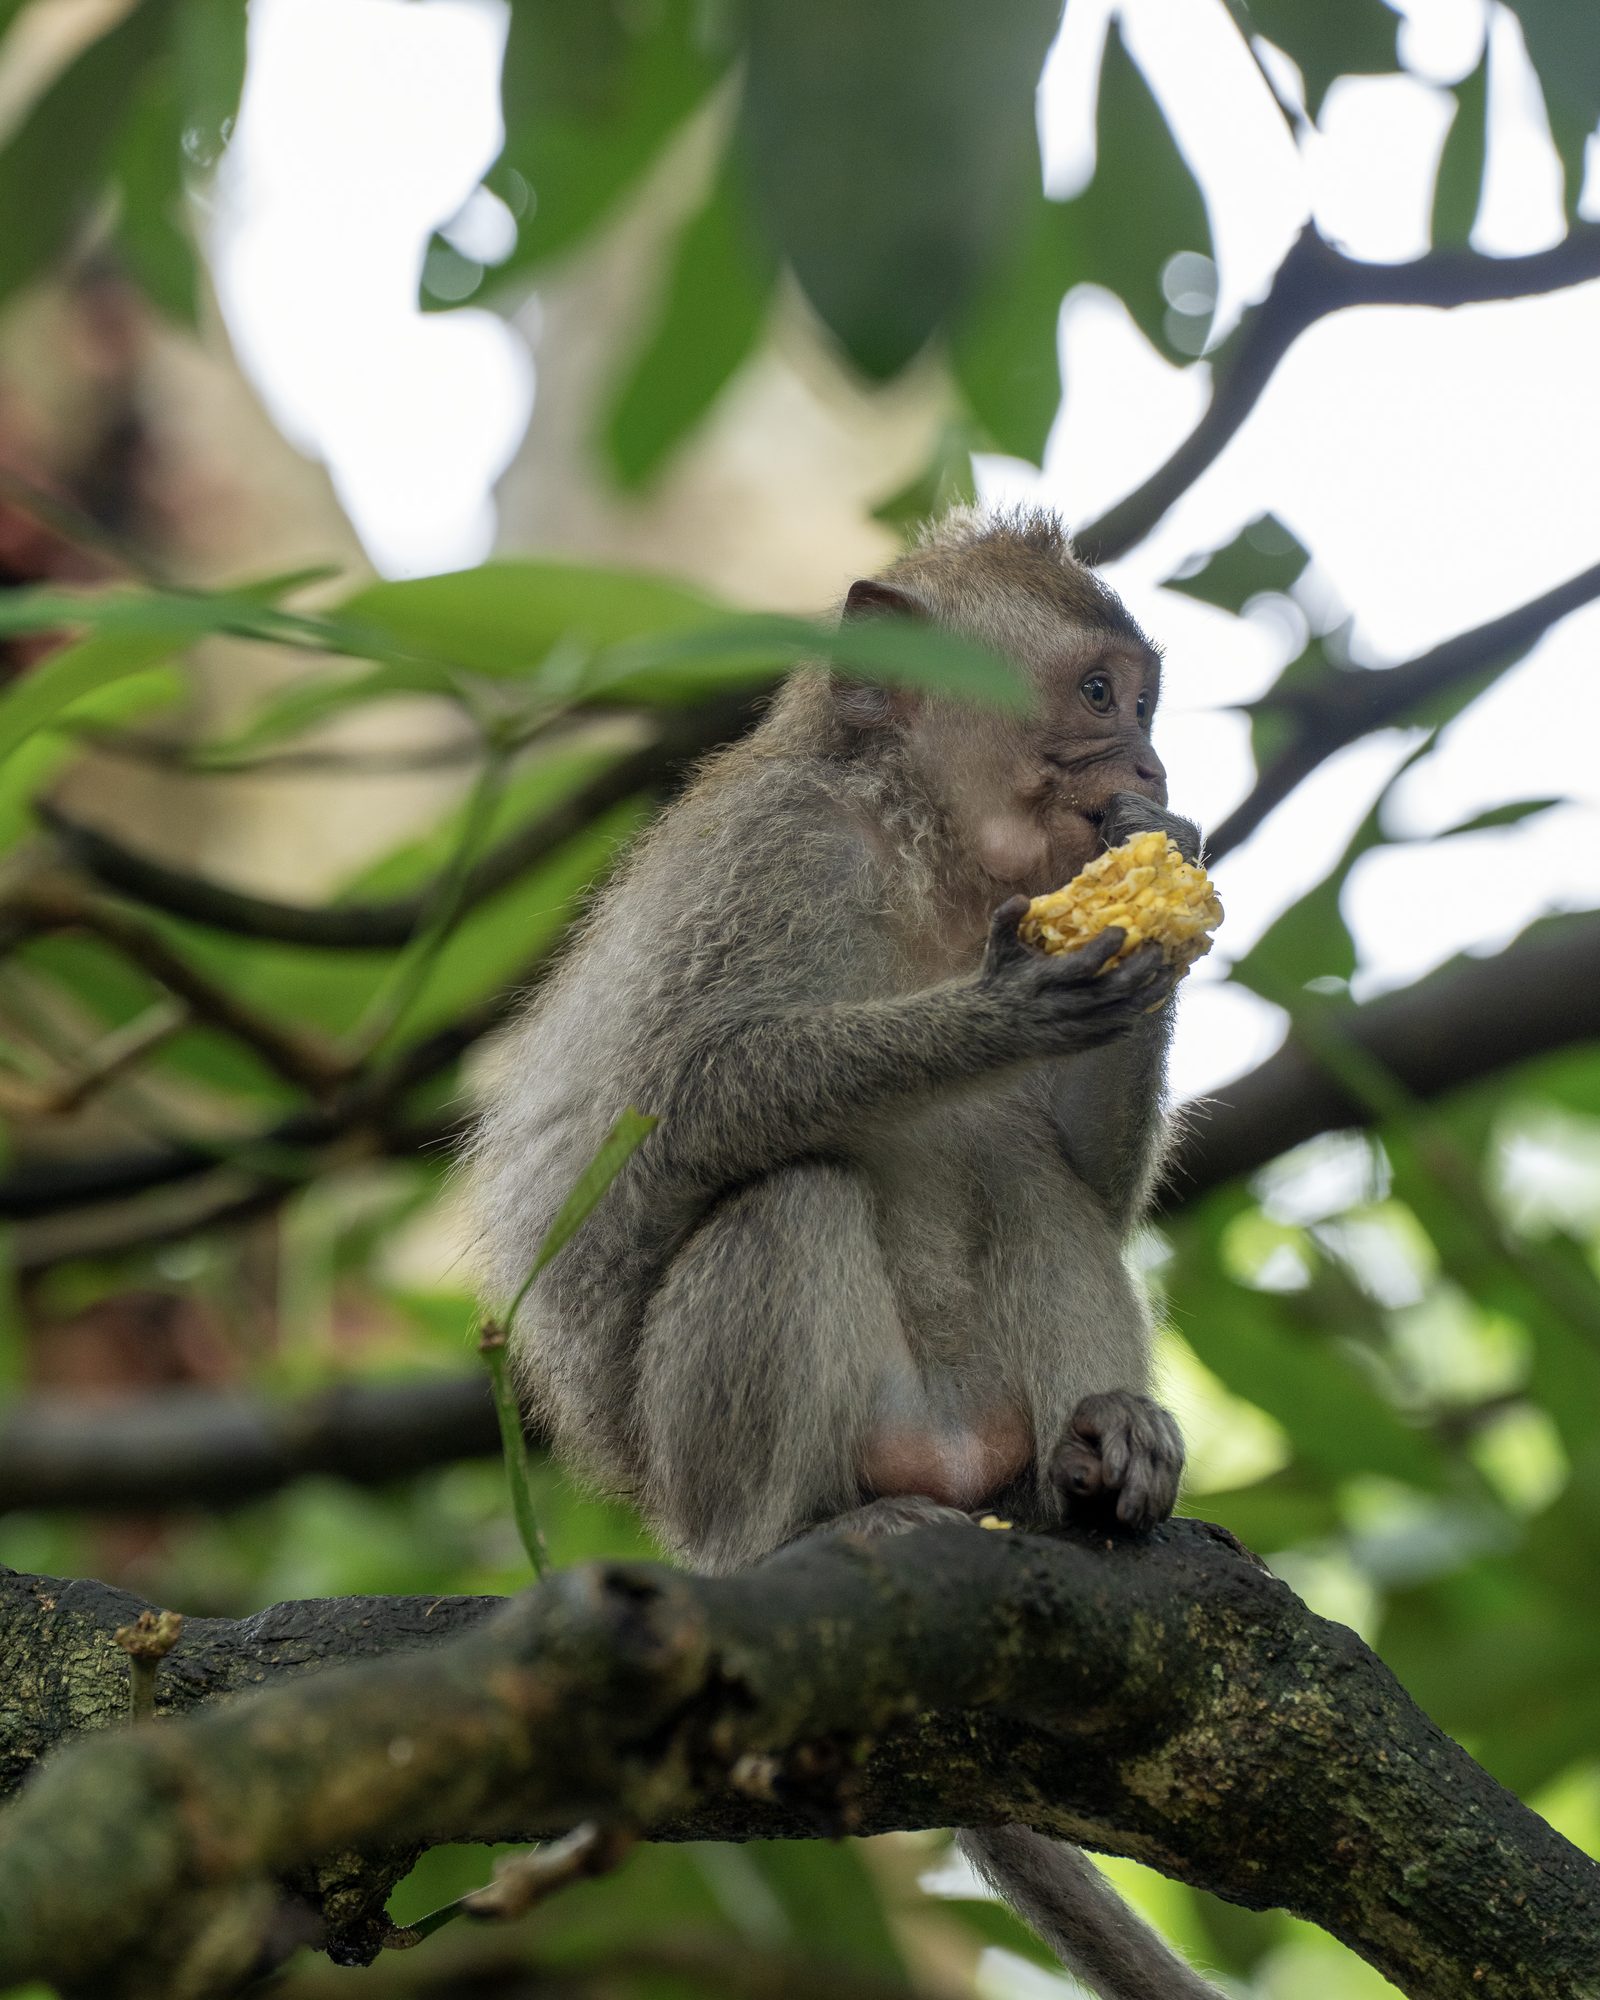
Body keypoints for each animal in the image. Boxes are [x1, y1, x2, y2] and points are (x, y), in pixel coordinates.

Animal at [468, 507, 1223, 2000]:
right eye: (1098, 693)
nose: (1155, 769)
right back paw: (798, 1534)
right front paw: (1001, 1007)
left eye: (1145, 704)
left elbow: (1091, 1185)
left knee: (1036, 1190)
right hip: (732, 1479)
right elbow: (691, 1099)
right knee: (788, 1193)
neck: (927, 854)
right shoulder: (783, 856)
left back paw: (1097, 1459)